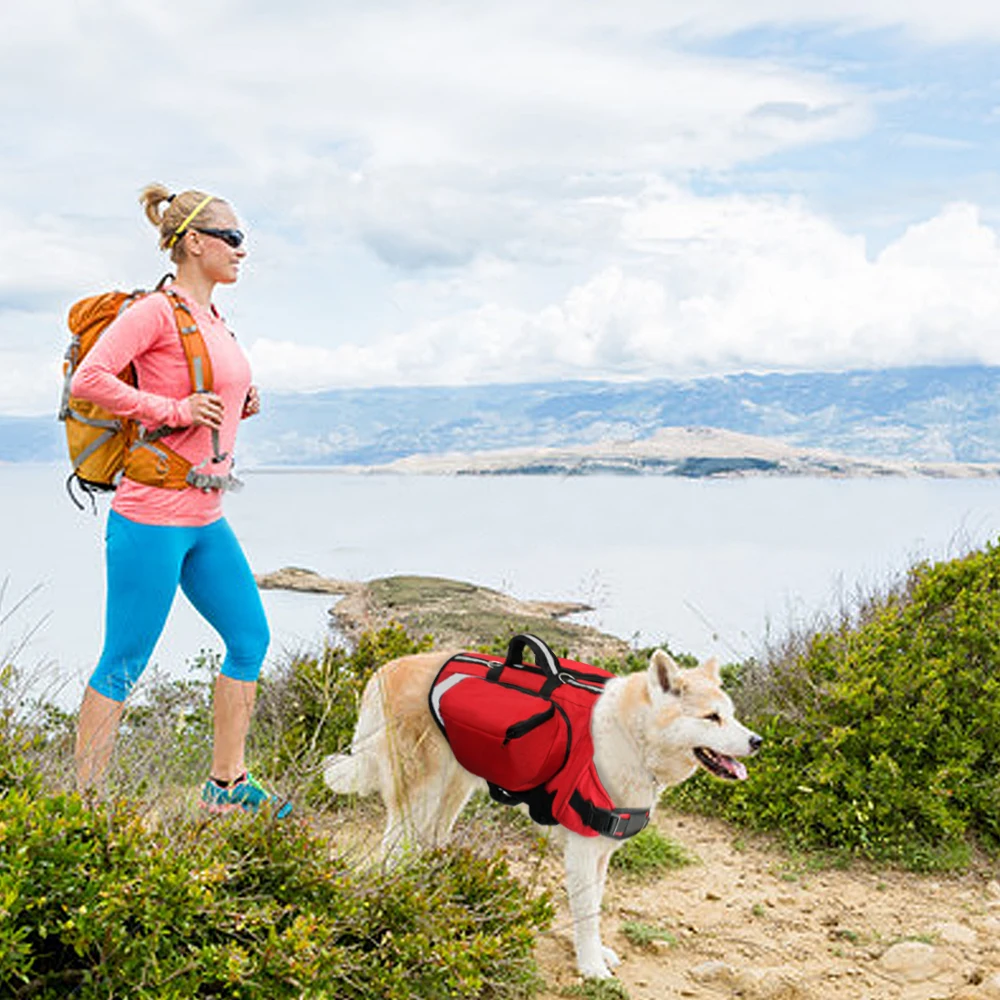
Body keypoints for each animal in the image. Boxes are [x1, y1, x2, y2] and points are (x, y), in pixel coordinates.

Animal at [324, 644, 760, 980]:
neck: (632, 738)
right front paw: (592, 968)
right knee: (392, 853)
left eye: (732, 714)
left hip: (453, 791)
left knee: (429, 844)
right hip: (420, 796)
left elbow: (596, 905)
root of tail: (386, 669)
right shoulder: (582, 851)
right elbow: (586, 914)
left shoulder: (601, 853)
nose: (757, 741)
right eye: (712, 718)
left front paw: (597, 954)